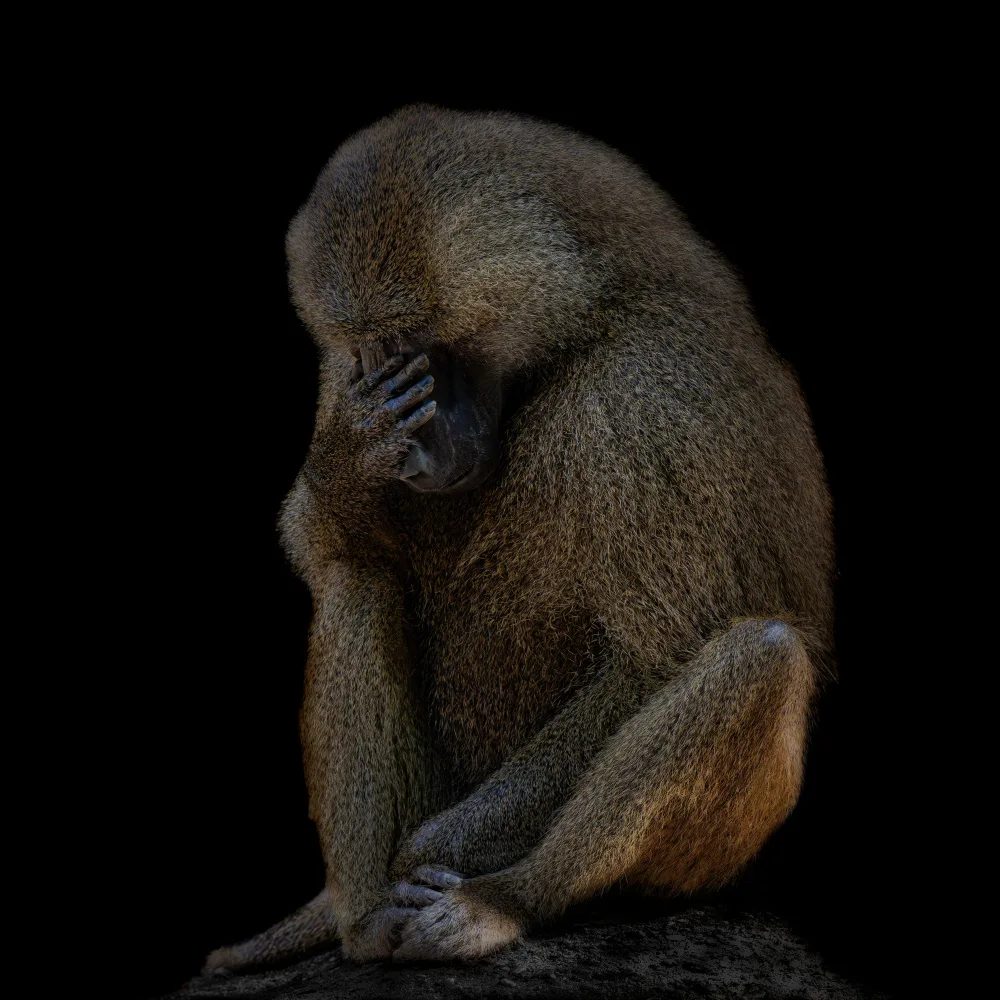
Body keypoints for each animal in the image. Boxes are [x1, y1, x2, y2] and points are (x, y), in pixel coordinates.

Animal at [205, 104, 834, 971]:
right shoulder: (346, 381)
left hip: (706, 862)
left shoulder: (649, 397)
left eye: (421, 339)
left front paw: (434, 850)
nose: (423, 451)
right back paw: (364, 923)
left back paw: (499, 902)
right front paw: (353, 456)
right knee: (357, 580)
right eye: (372, 351)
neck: (583, 317)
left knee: (761, 655)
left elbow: (656, 653)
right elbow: (323, 542)